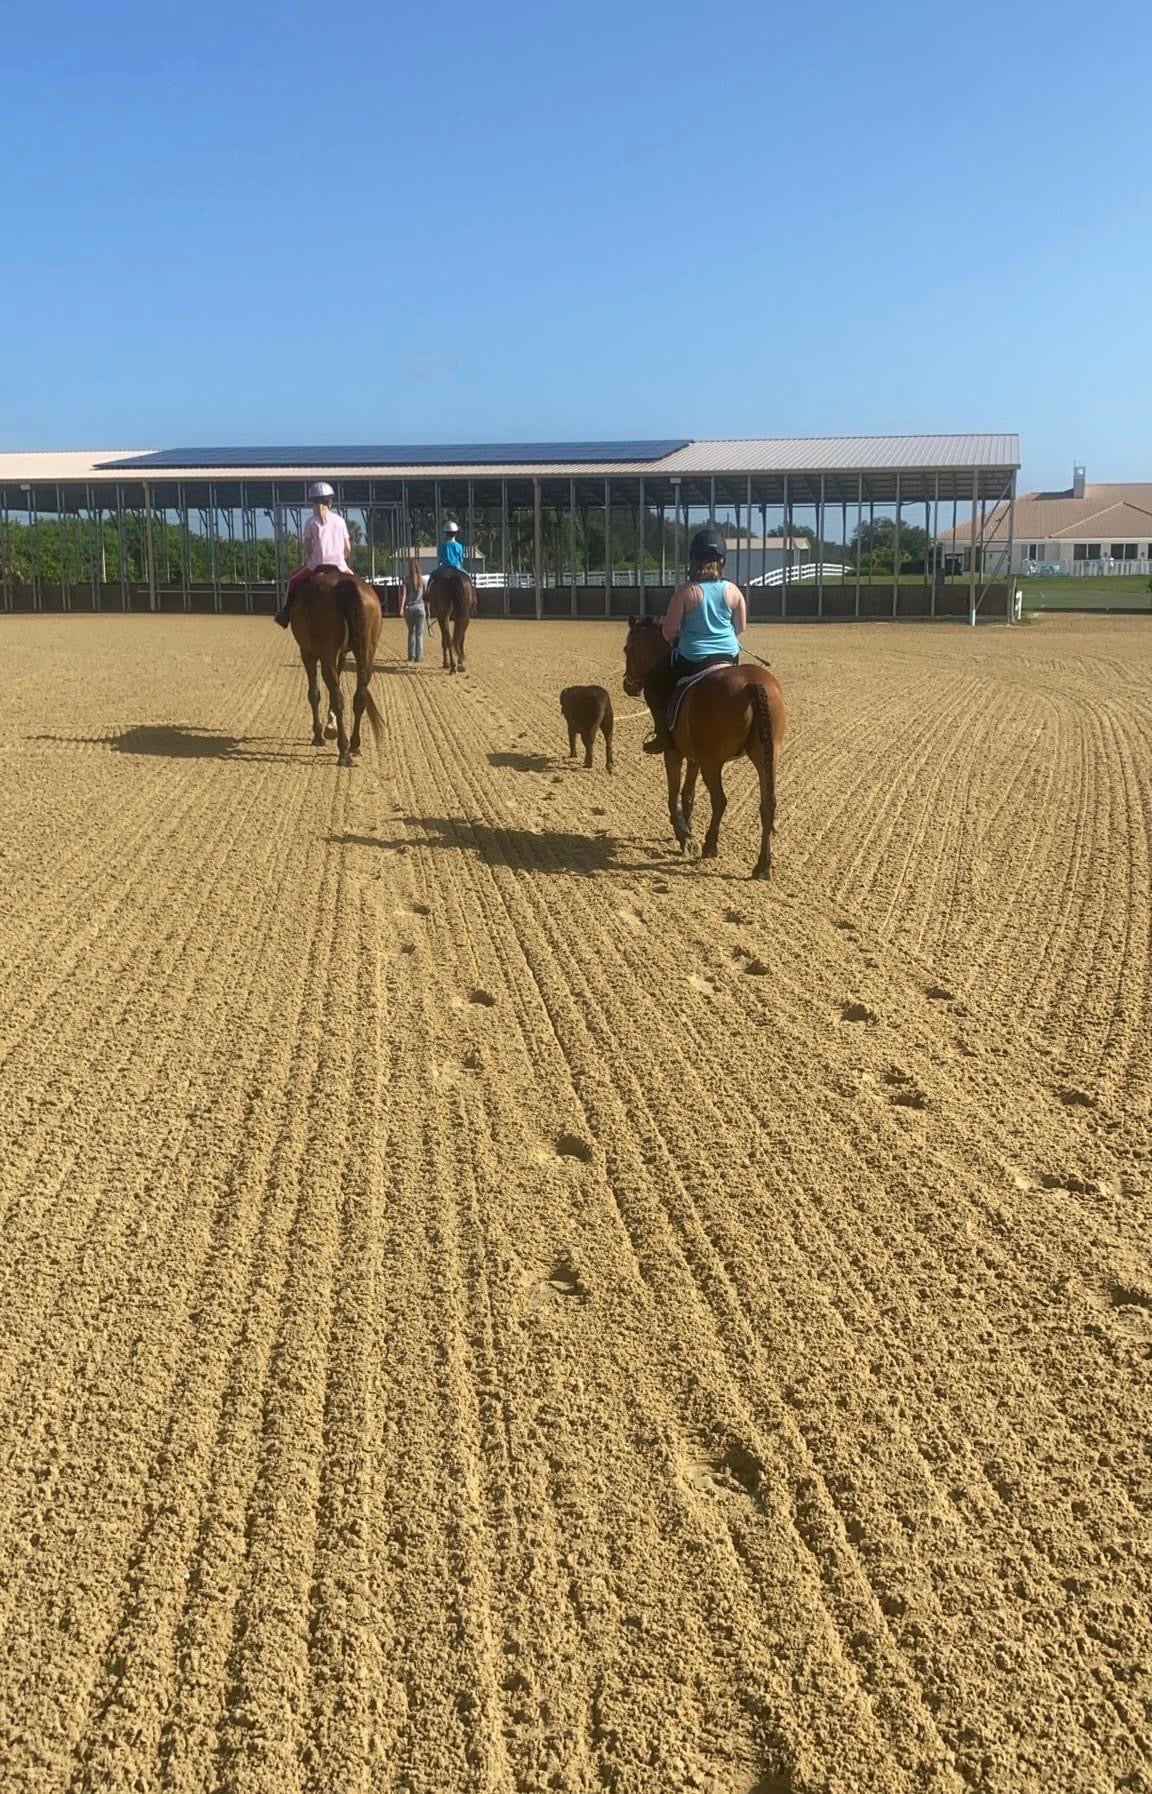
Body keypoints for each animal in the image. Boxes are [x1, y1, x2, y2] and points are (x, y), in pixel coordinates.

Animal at [288, 570, 384, 766]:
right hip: (367, 653)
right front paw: (329, 726)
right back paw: (354, 745)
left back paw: (343, 751)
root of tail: (345, 585)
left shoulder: (308, 653)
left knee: (338, 697)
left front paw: (319, 734)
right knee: (359, 697)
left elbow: (314, 693)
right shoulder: (342, 654)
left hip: (325, 653)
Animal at [622, 618, 786, 879]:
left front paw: (685, 838)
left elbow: (674, 795)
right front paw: (687, 831)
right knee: (767, 805)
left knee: (720, 801)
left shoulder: (674, 754)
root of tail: (753, 683)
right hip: (766, 759)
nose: (628, 685)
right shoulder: (694, 758)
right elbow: (688, 795)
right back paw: (762, 865)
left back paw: (710, 846)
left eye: (628, 649)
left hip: (713, 762)